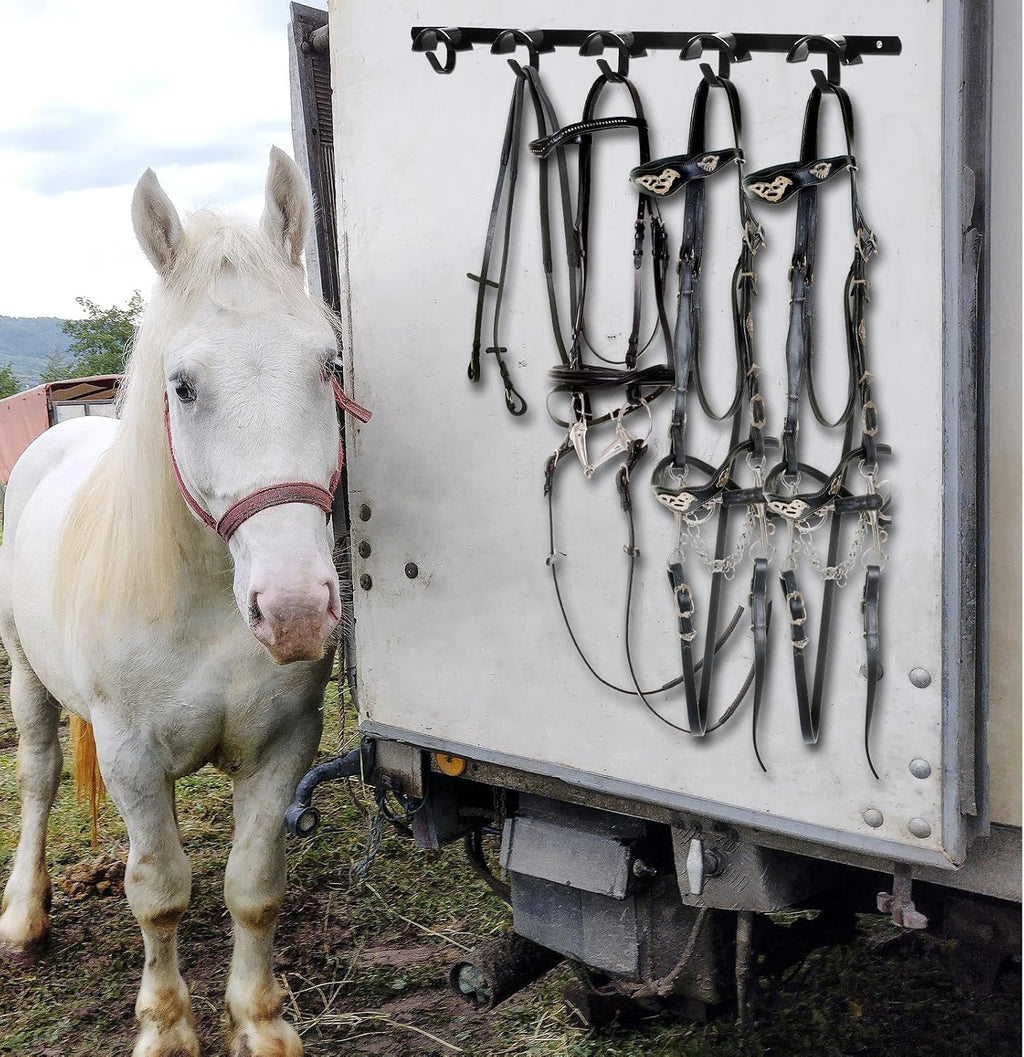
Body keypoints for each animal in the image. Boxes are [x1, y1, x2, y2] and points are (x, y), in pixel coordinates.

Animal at [0, 147, 366, 1057]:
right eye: (184, 386)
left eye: (328, 366)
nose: (295, 607)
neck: (204, 603)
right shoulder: (131, 753)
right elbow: (158, 891)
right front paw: (166, 1027)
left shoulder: (282, 744)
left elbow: (252, 885)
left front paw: (260, 1021)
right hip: (26, 676)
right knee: (38, 778)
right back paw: (25, 913)